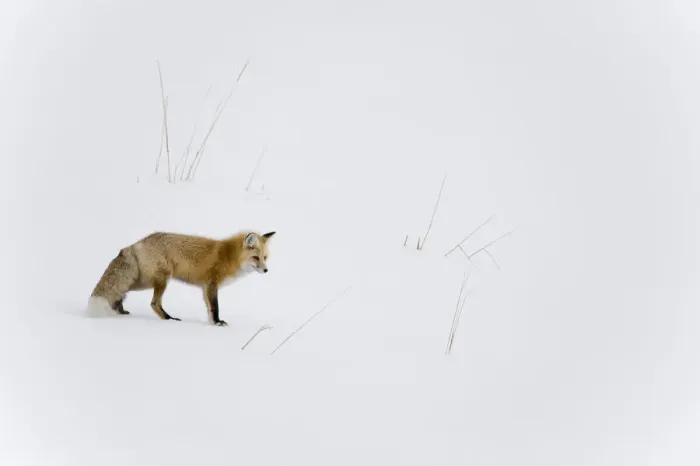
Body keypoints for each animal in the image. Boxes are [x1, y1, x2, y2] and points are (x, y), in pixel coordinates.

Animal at [87, 230, 276, 326]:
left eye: (265, 258)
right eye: (256, 258)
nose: (266, 270)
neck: (229, 256)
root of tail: (134, 245)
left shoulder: (204, 288)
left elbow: (209, 308)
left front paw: (211, 323)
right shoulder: (211, 283)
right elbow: (215, 307)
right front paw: (217, 323)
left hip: (143, 281)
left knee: (121, 290)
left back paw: (119, 310)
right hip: (161, 280)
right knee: (153, 303)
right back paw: (169, 319)